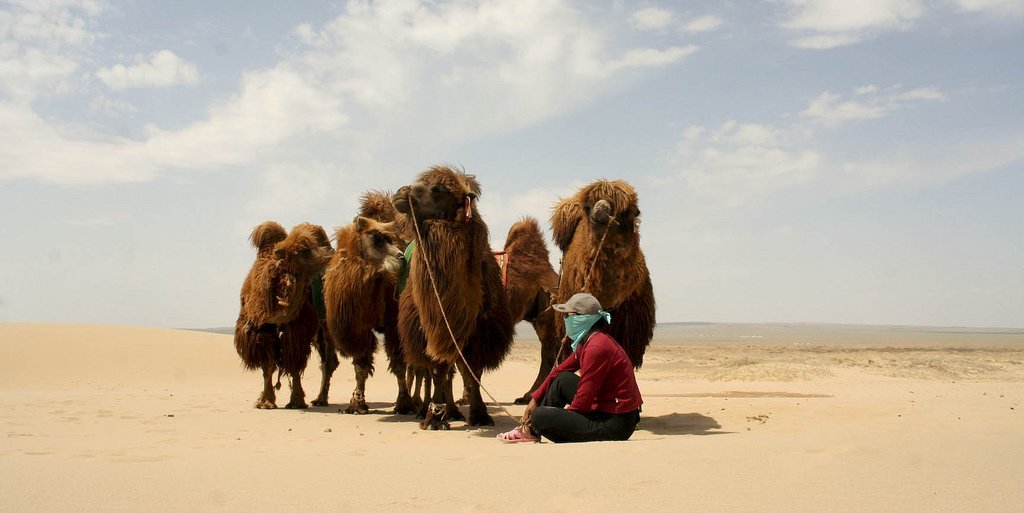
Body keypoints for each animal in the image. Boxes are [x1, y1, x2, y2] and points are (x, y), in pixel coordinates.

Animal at [233, 220, 329, 407]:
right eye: (304, 251)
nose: (330, 253)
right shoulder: (261, 332)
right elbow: (268, 366)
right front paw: (265, 401)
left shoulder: (298, 329)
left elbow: (293, 364)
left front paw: (296, 401)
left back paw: (320, 399)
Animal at [393, 164, 516, 428]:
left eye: (439, 189)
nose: (401, 192)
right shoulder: (433, 326)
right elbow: (438, 371)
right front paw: (435, 416)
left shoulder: (478, 332)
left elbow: (473, 371)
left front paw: (479, 415)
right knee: (430, 372)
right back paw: (429, 408)